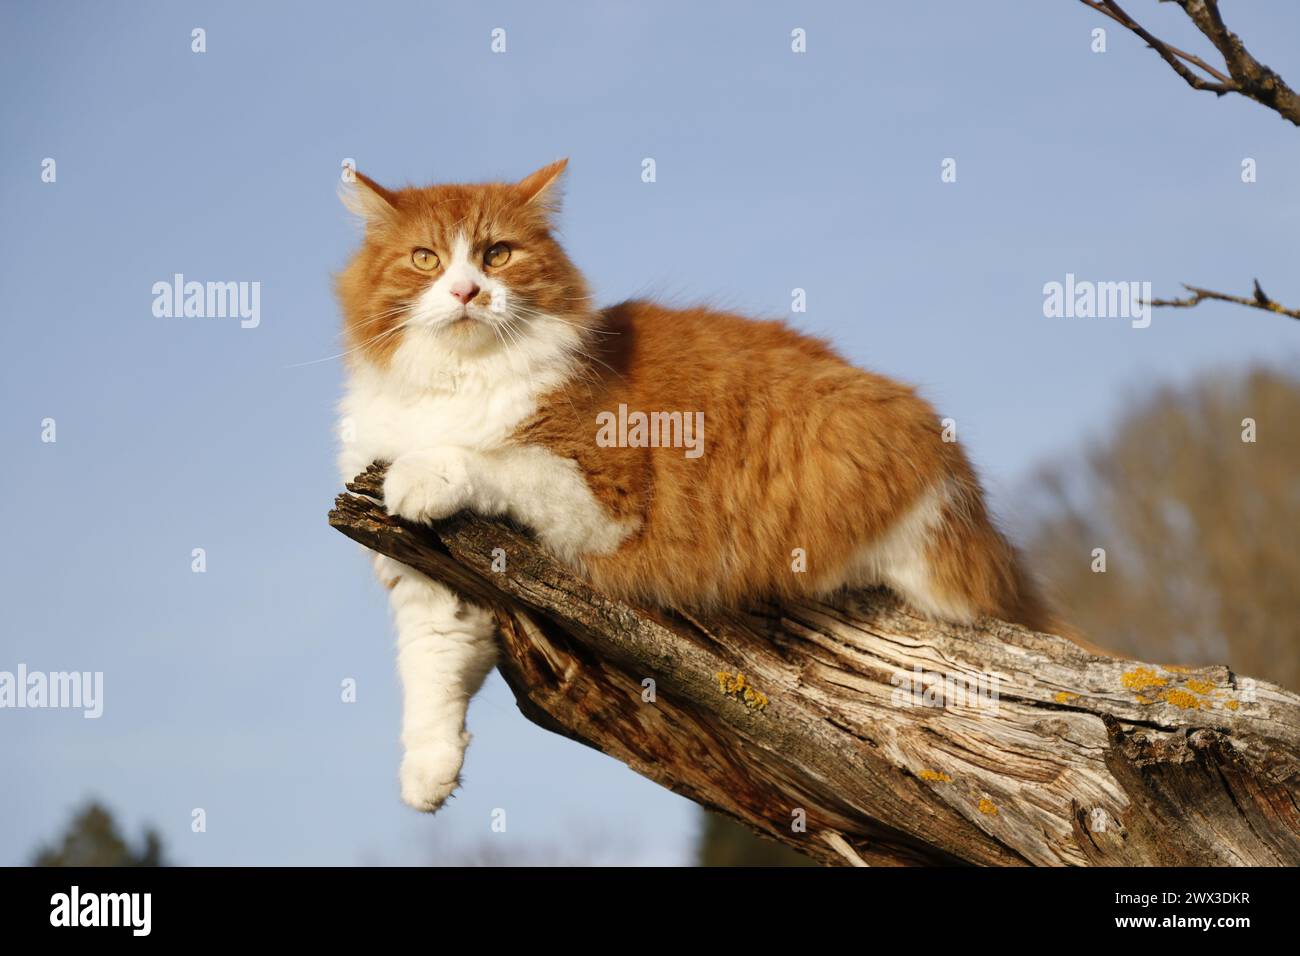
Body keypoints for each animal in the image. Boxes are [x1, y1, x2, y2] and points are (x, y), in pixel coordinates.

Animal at [335, 160, 1066, 811]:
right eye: (426, 259)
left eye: (496, 255)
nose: (467, 293)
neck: (455, 385)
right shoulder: (432, 586)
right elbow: (430, 677)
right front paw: (427, 776)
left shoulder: (602, 494)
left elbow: (486, 457)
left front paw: (424, 470)